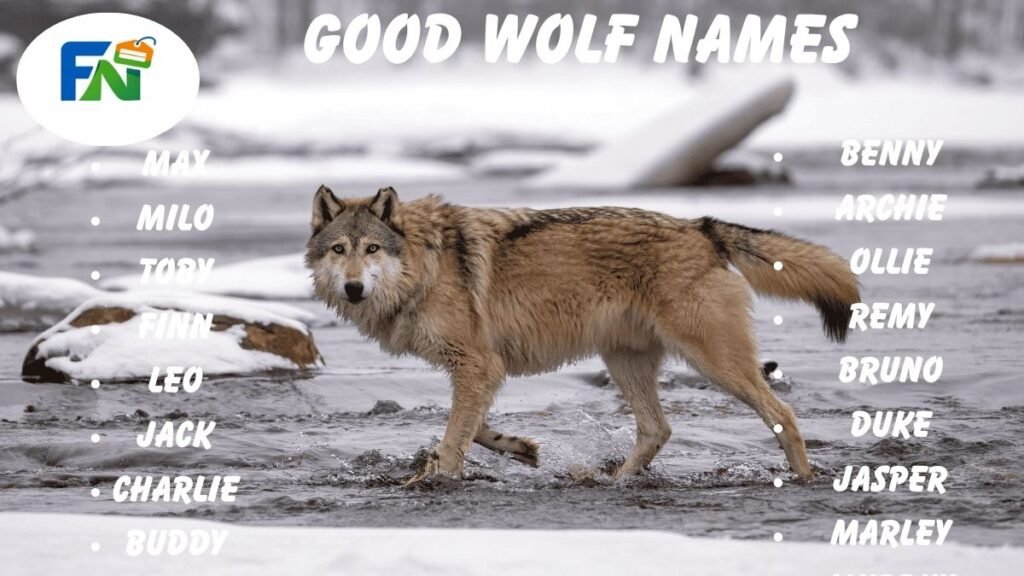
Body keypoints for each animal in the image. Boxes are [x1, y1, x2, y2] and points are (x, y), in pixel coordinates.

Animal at [305, 185, 860, 484]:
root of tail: (702, 227)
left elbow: (453, 438)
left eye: (372, 249)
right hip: (624, 361)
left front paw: (435, 477)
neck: (426, 262)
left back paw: (805, 479)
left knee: (784, 415)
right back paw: (612, 480)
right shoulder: (482, 370)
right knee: (657, 430)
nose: (353, 288)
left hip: (715, 364)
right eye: (339, 250)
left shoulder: (478, 364)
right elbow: (472, 428)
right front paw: (522, 449)